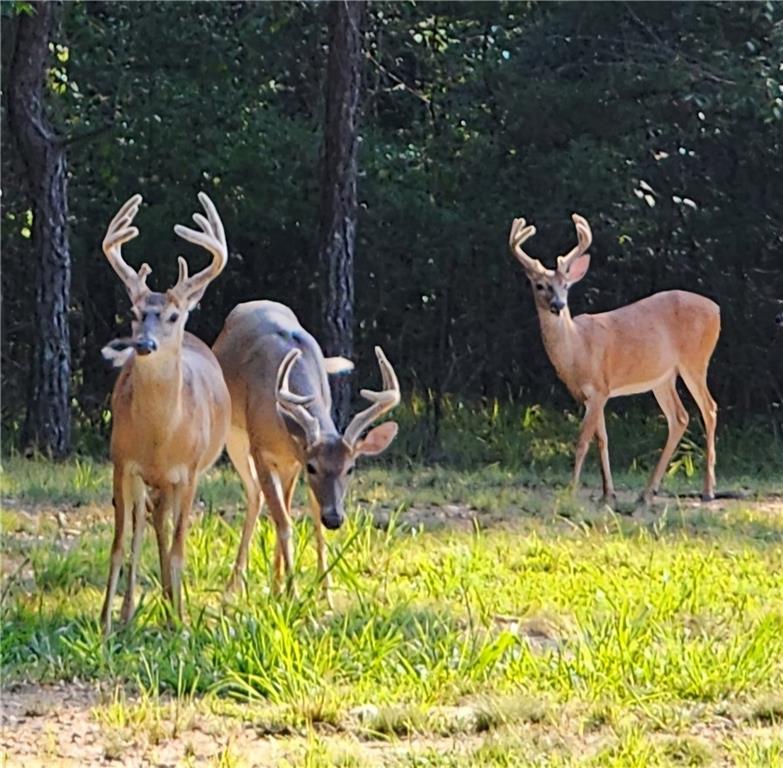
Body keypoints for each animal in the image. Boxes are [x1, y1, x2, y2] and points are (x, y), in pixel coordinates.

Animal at [99, 189, 231, 632]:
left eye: (173, 315)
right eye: (135, 313)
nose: (144, 344)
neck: (161, 436)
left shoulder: (188, 472)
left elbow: (179, 548)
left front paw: (183, 624)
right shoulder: (122, 462)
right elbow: (120, 543)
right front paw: (106, 623)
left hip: (184, 477)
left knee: (165, 527)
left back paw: (173, 608)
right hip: (145, 481)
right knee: (147, 526)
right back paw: (132, 612)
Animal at [213, 296, 402, 604]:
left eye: (351, 468)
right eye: (313, 466)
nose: (335, 518)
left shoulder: (294, 458)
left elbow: (309, 515)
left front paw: (324, 592)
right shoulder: (262, 451)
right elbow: (284, 522)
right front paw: (293, 592)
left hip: (284, 464)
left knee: (281, 504)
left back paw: (275, 584)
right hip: (234, 437)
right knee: (256, 496)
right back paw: (234, 587)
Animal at [508, 214, 724, 504]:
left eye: (566, 285)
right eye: (540, 285)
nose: (558, 305)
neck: (577, 350)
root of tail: (717, 310)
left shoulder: (600, 388)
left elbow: (582, 440)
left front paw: (571, 490)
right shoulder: (591, 395)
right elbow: (602, 439)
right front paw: (607, 492)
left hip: (696, 360)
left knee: (709, 408)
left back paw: (708, 490)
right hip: (662, 377)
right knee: (679, 417)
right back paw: (648, 491)